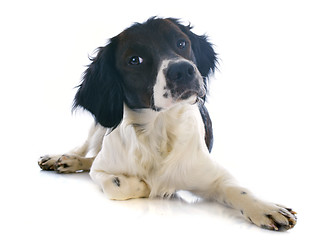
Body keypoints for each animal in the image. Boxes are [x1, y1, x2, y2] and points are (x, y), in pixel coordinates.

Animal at [37, 16, 296, 231]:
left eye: (181, 43)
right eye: (135, 60)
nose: (183, 69)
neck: (158, 131)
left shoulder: (213, 176)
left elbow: (238, 189)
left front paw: (266, 208)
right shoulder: (102, 170)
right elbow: (117, 184)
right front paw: (142, 185)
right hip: (101, 124)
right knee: (83, 149)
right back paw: (62, 159)